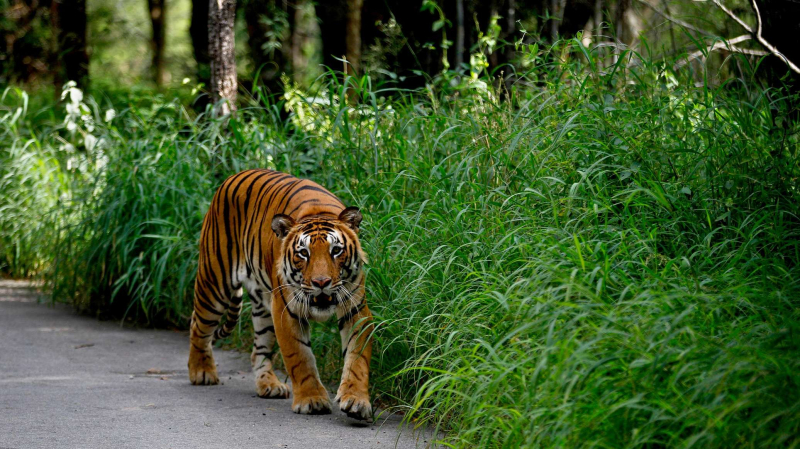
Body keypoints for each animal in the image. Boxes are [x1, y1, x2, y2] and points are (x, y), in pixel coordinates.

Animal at [187, 169, 374, 421]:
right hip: (214, 285)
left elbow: (358, 360)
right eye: (303, 253)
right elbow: (300, 357)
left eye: (336, 250)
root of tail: (232, 176)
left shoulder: (356, 309)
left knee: (258, 351)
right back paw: (201, 372)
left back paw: (269, 385)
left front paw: (356, 401)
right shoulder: (287, 311)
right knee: (197, 326)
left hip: (263, 308)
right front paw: (312, 400)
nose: (321, 282)